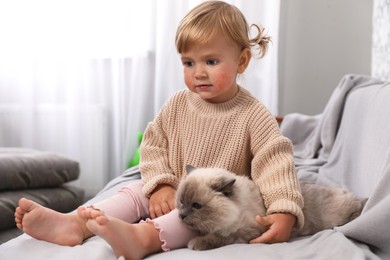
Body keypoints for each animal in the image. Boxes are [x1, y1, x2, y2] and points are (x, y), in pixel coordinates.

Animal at [175, 167, 368, 250]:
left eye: (197, 206)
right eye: (181, 202)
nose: (181, 216)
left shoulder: (246, 232)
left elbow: (217, 237)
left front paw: (194, 243)